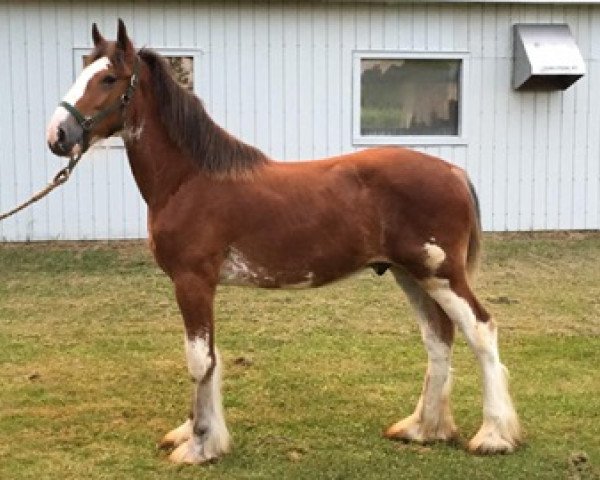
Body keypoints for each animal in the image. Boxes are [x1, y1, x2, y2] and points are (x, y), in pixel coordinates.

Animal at [45, 19, 520, 464]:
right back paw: (423, 429)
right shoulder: (197, 286)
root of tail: (453, 172)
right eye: (85, 68)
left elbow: (199, 360)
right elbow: (208, 357)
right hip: (412, 274)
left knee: (481, 330)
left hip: (440, 273)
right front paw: (193, 434)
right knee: (438, 337)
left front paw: (199, 445)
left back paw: (493, 436)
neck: (190, 180)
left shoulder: (192, 281)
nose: (58, 135)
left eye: (109, 79)